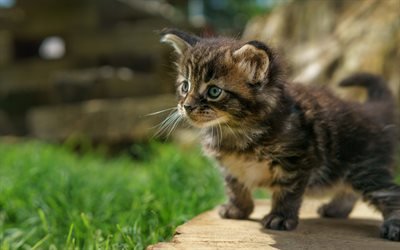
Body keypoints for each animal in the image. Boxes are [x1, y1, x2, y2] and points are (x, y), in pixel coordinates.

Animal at [159, 28, 400, 241]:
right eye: (185, 86)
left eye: (214, 91)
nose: (186, 106)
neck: (236, 131)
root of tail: (371, 111)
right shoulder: (230, 166)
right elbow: (235, 187)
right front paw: (238, 210)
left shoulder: (297, 159)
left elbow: (287, 192)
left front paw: (280, 217)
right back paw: (336, 209)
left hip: (365, 168)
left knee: (389, 193)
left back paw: (393, 225)